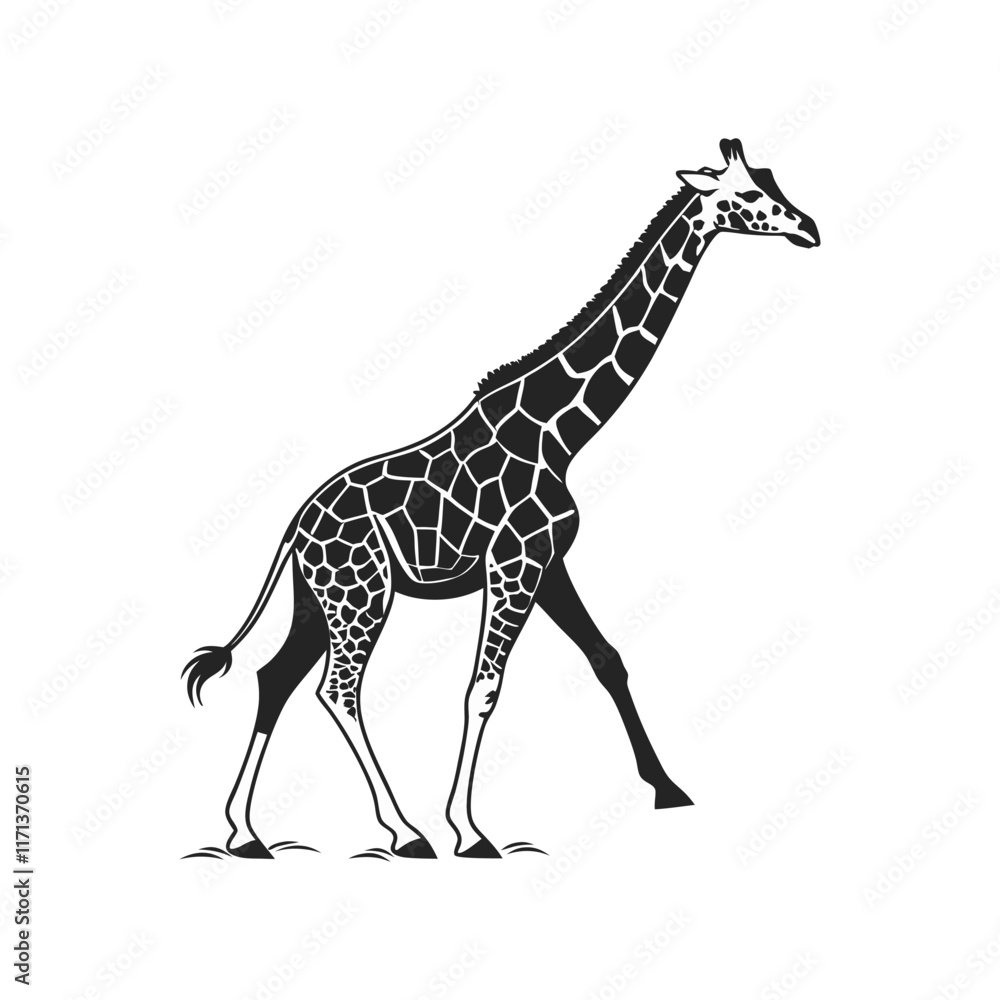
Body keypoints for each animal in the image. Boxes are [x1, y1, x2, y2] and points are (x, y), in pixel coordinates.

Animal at [183, 138, 820, 859]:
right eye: (746, 196)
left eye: (772, 180)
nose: (809, 229)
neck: (559, 432)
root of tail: (296, 524)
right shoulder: (514, 565)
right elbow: (483, 689)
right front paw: (468, 831)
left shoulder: (548, 563)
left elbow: (608, 660)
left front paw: (667, 787)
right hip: (361, 593)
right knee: (338, 688)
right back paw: (404, 831)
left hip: (319, 598)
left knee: (277, 677)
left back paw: (246, 832)